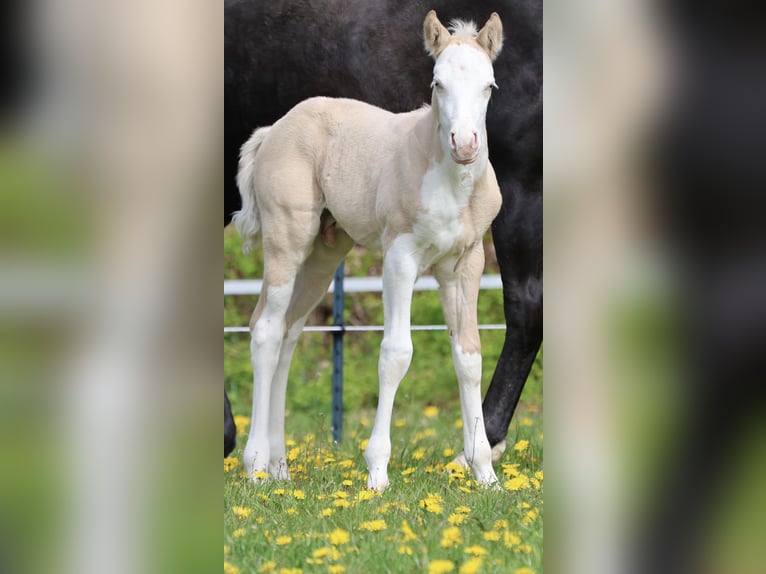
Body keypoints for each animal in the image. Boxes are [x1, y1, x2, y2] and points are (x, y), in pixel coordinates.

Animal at [224, 0, 542, 462]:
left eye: (489, 86)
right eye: (437, 83)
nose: (465, 144)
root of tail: (274, 129)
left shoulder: (464, 263)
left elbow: (468, 355)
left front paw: (482, 467)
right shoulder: (400, 258)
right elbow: (396, 352)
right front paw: (377, 468)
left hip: (322, 255)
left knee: (287, 330)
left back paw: (280, 466)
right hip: (288, 238)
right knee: (266, 329)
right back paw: (256, 462)